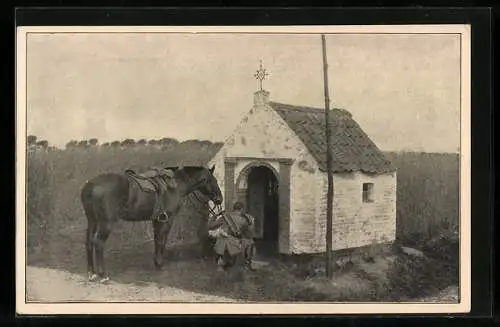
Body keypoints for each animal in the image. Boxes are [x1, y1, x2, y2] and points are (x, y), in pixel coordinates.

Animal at [81, 165, 222, 284]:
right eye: (211, 180)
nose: (219, 199)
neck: (175, 185)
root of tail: (91, 186)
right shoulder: (167, 219)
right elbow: (162, 241)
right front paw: (160, 264)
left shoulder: (157, 220)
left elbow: (157, 240)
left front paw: (156, 263)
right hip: (106, 223)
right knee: (98, 243)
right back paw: (103, 275)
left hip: (92, 220)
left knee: (89, 242)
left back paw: (91, 273)